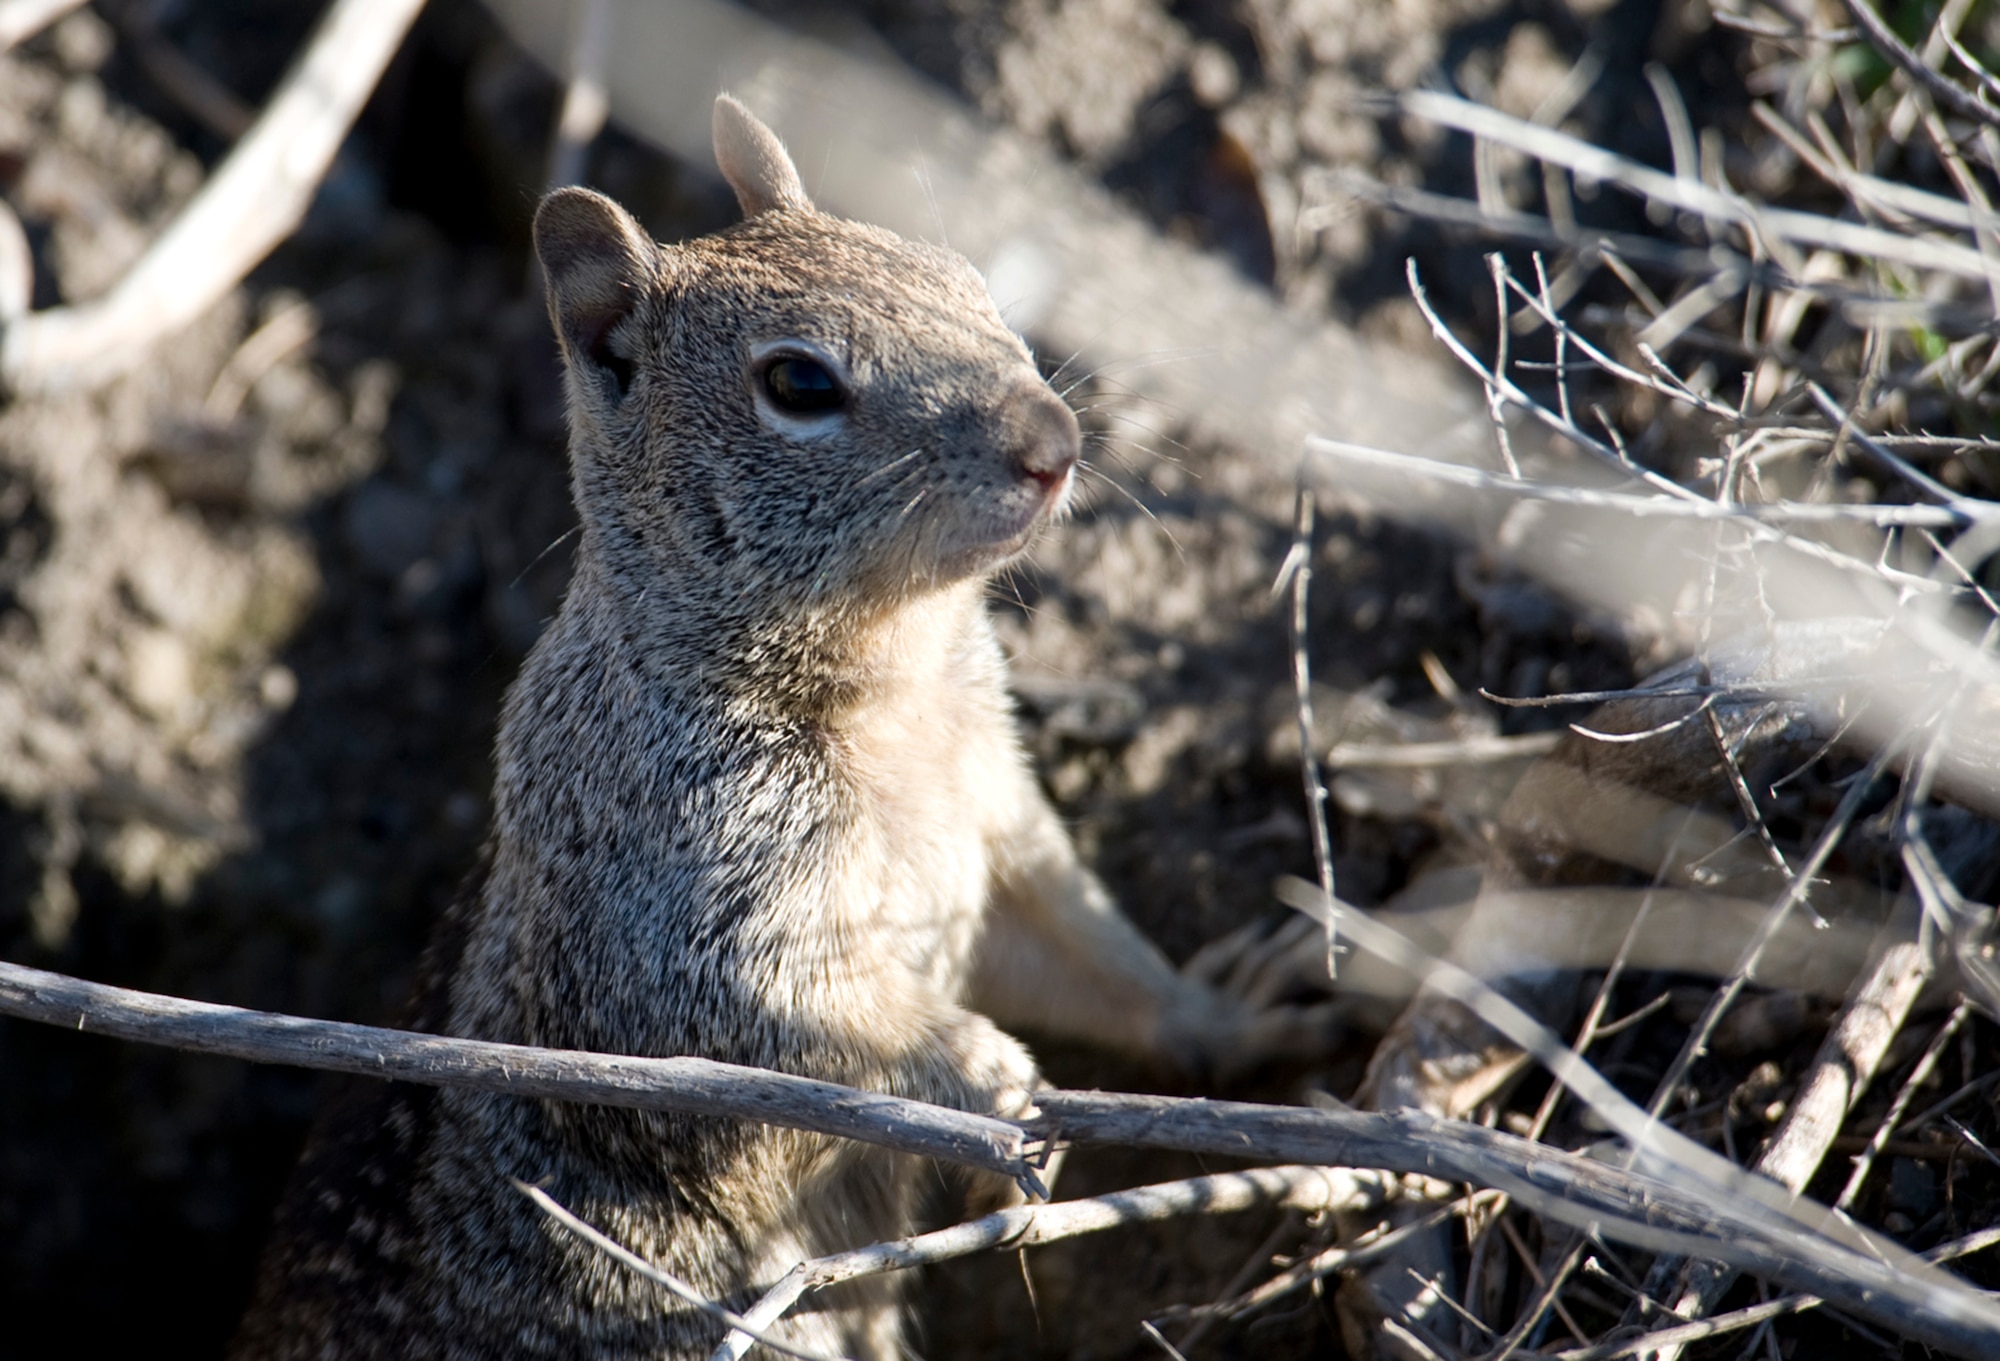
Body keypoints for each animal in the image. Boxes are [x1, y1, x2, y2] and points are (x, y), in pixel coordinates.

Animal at [234, 98, 1320, 1361]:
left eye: (961, 276)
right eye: (798, 382)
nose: (1052, 439)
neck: (897, 688)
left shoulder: (999, 837)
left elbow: (1097, 957)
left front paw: (1229, 1016)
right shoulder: (677, 910)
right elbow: (804, 1022)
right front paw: (994, 1074)